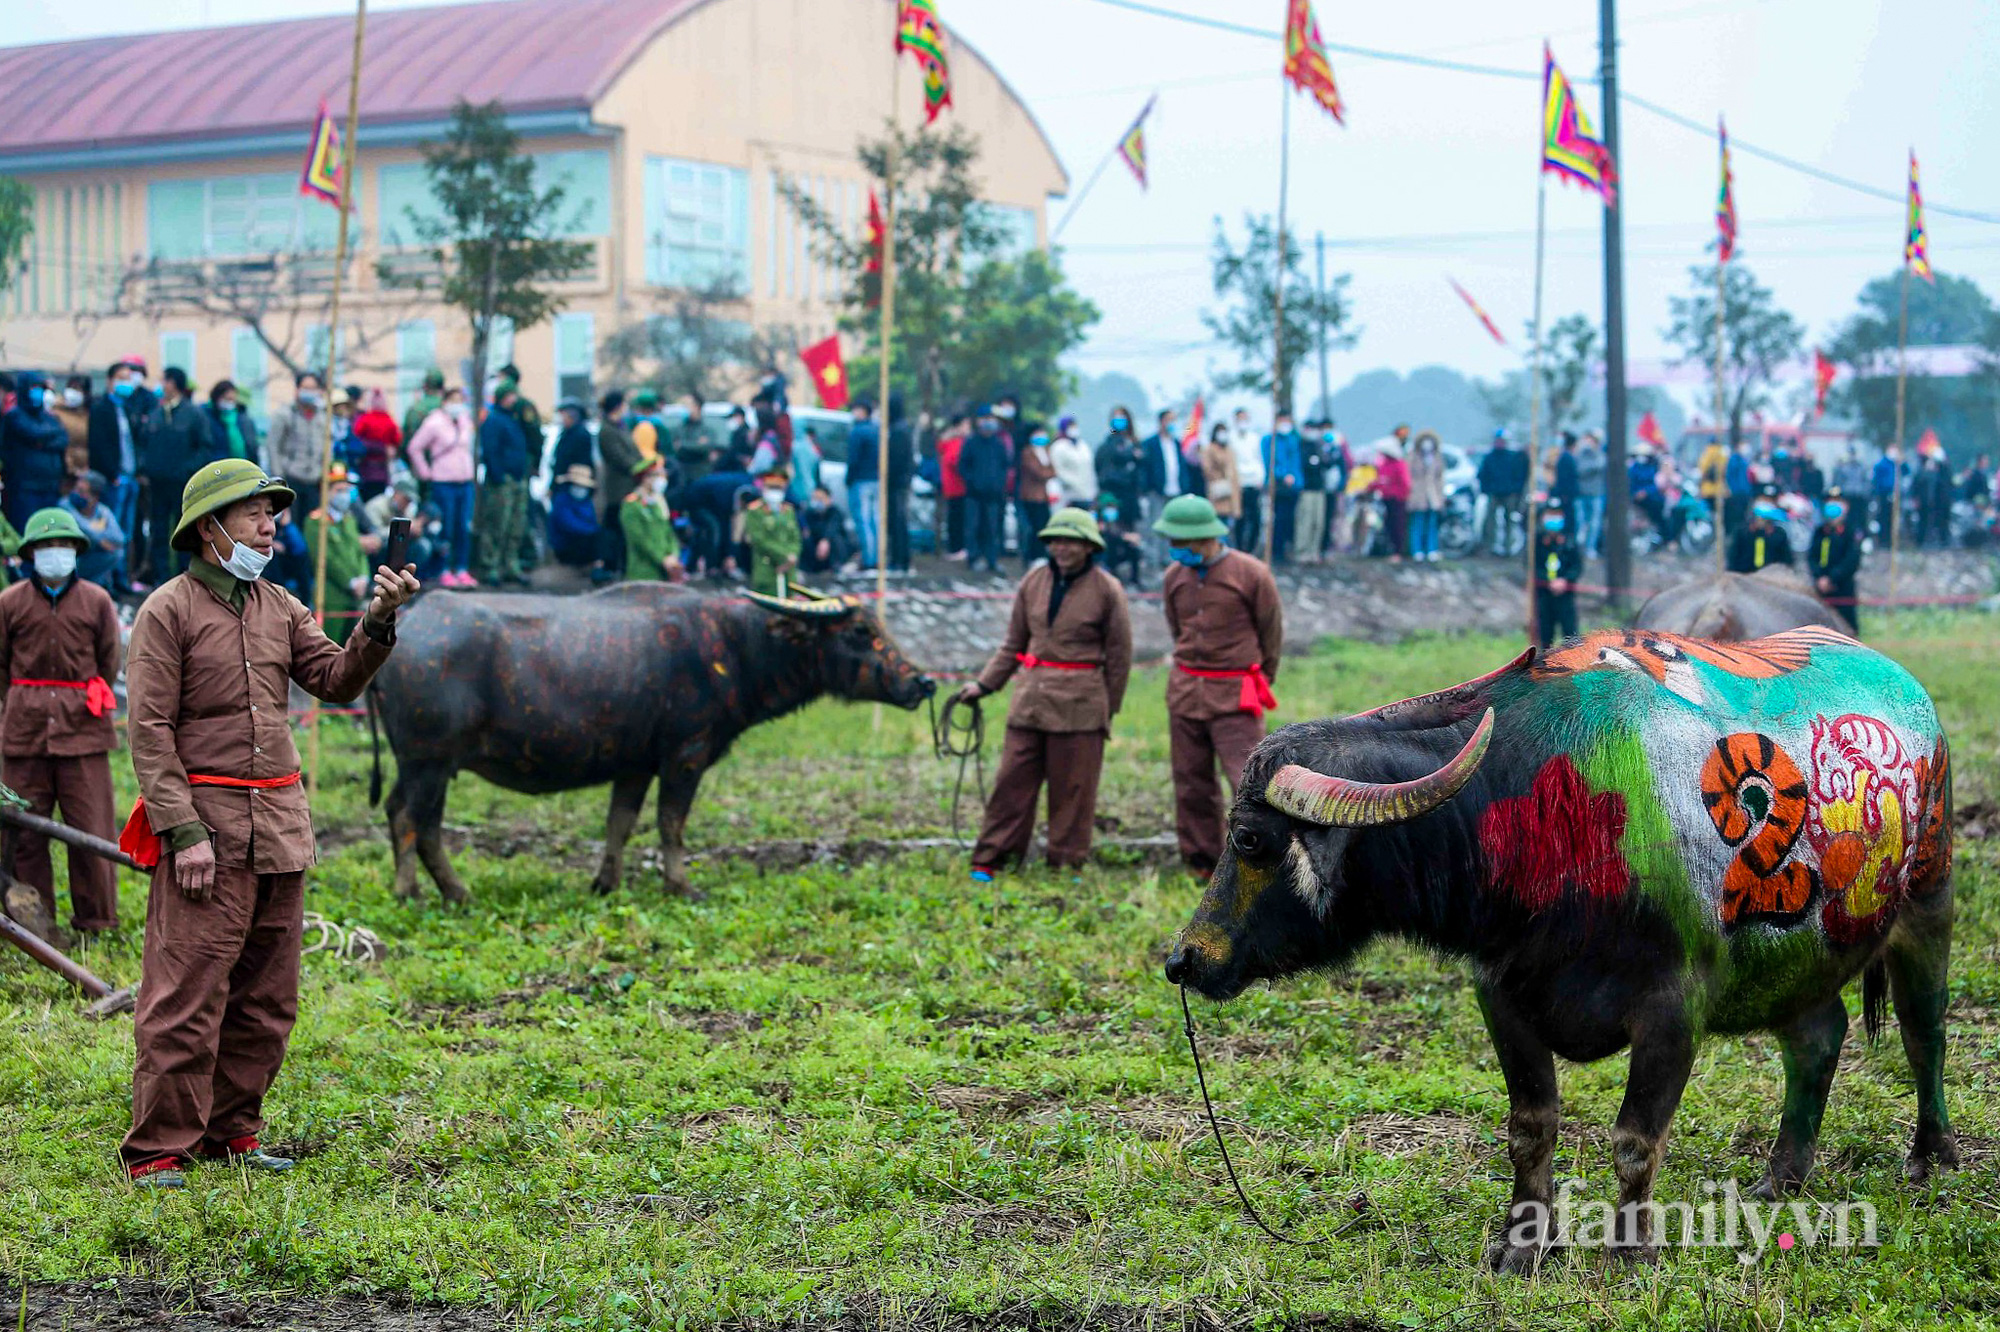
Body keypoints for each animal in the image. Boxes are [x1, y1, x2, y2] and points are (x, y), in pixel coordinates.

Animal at [372, 584, 932, 904]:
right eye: (859, 630)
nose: (922, 682)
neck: (734, 645)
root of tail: (408, 624)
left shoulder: (634, 764)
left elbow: (620, 823)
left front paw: (606, 884)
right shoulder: (685, 757)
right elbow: (671, 824)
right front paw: (681, 885)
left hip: (425, 764)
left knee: (411, 818)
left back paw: (441, 891)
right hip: (428, 761)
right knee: (413, 820)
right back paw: (424, 892)